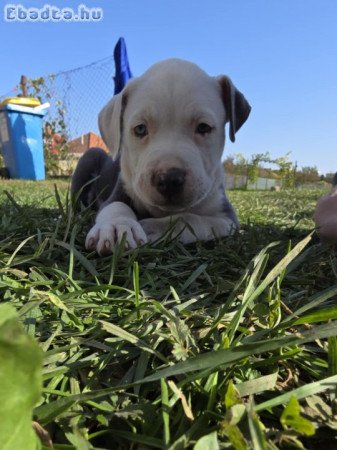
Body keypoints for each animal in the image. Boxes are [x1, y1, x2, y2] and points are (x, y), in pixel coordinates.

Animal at [72, 59, 251, 255]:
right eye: (140, 129)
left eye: (204, 127)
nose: (169, 179)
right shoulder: (119, 190)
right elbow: (116, 206)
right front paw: (118, 227)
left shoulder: (227, 219)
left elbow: (189, 218)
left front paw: (153, 228)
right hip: (89, 157)